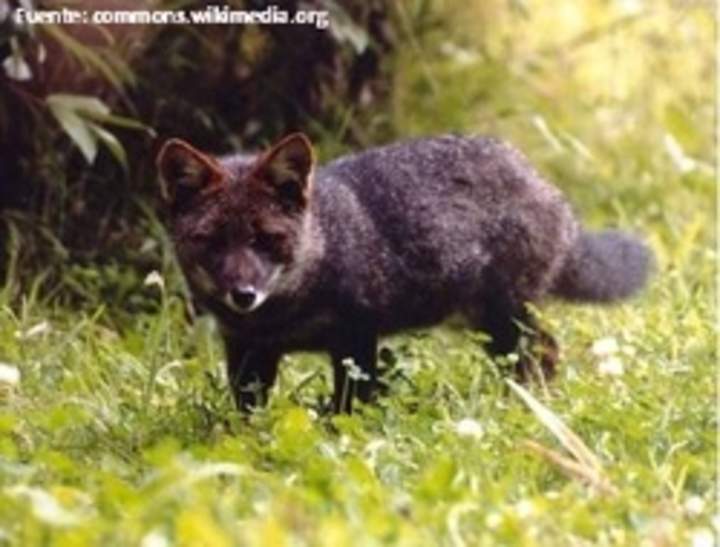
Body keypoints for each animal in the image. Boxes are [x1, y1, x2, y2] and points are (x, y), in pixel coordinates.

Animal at [156, 133, 652, 413]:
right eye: (213, 241)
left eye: (265, 239)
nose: (243, 294)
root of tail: (544, 185)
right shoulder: (247, 350)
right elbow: (247, 416)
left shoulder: (356, 337)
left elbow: (349, 408)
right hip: (485, 325)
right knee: (541, 352)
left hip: (503, 319)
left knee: (544, 351)